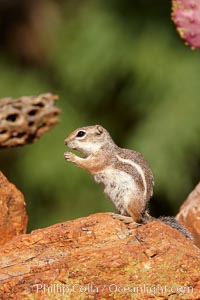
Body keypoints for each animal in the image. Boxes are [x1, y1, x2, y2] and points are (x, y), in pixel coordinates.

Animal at [64, 124, 192, 239]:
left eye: (81, 133)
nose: (65, 142)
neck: (103, 146)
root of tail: (144, 212)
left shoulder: (102, 158)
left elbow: (89, 165)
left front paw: (71, 157)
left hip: (130, 201)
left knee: (138, 220)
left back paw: (125, 218)